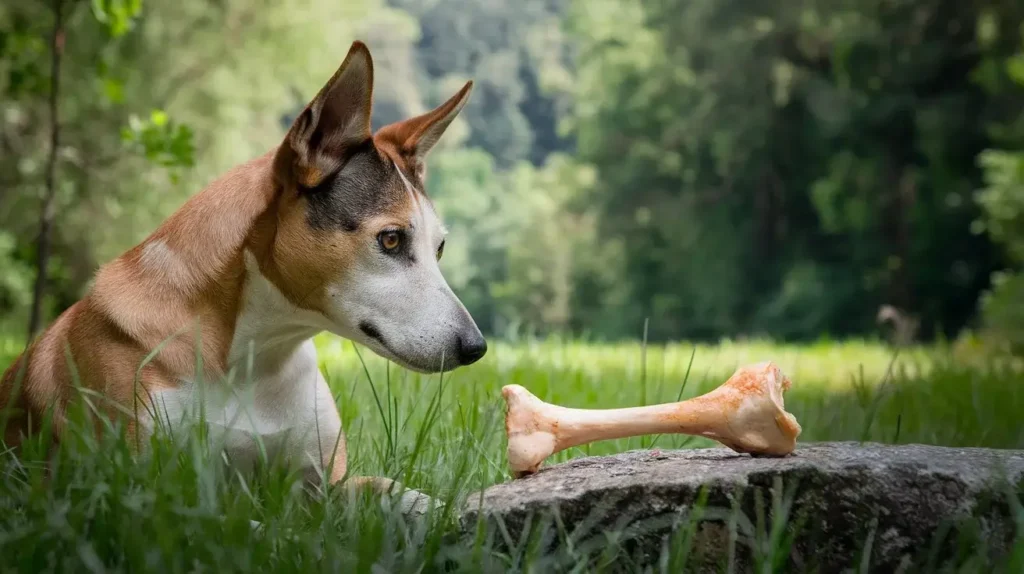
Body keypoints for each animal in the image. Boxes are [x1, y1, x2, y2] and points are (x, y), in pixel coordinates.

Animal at [0, 42, 487, 511]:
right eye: (390, 239)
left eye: (439, 248)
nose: (476, 348)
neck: (253, 356)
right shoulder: (142, 488)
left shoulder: (324, 487)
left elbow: (403, 493)